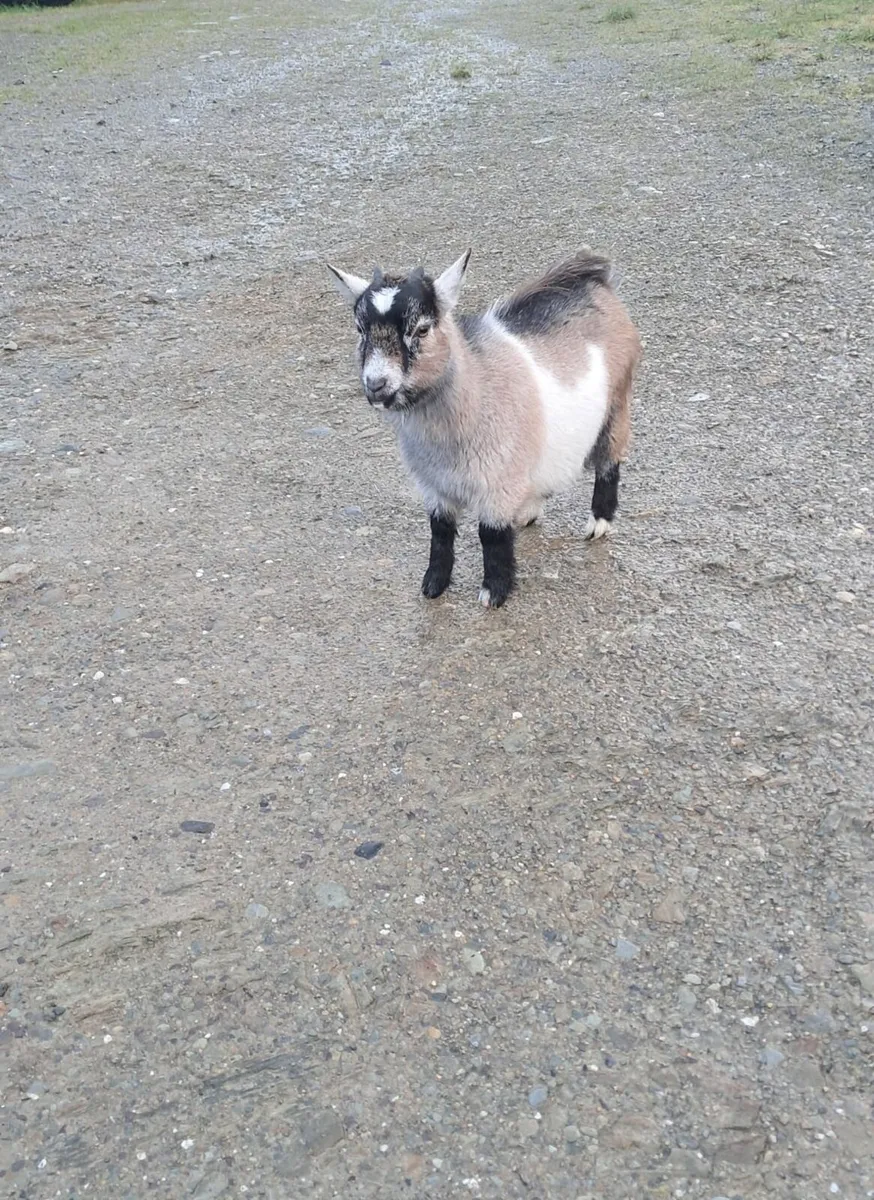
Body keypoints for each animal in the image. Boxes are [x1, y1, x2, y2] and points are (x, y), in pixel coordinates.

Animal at [328, 248, 641, 607]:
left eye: (422, 329)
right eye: (359, 329)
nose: (376, 385)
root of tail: (592, 276)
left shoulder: (497, 483)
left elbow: (490, 535)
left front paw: (494, 592)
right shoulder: (434, 486)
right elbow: (440, 531)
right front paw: (434, 585)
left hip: (617, 404)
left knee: (609, 462)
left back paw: (598, 523)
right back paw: (529, 511)